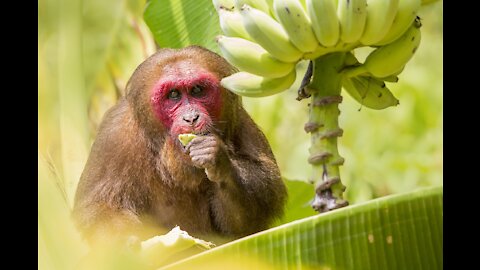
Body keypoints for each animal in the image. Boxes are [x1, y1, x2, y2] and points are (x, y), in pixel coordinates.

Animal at [73, 45, 286, 248]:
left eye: (197, 90)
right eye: (173, 94)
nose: (191, 118)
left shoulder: (240, 120)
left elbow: (251, 215)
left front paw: (217, 159)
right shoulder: (115, 135)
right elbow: (100, 207)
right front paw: (124, 245)